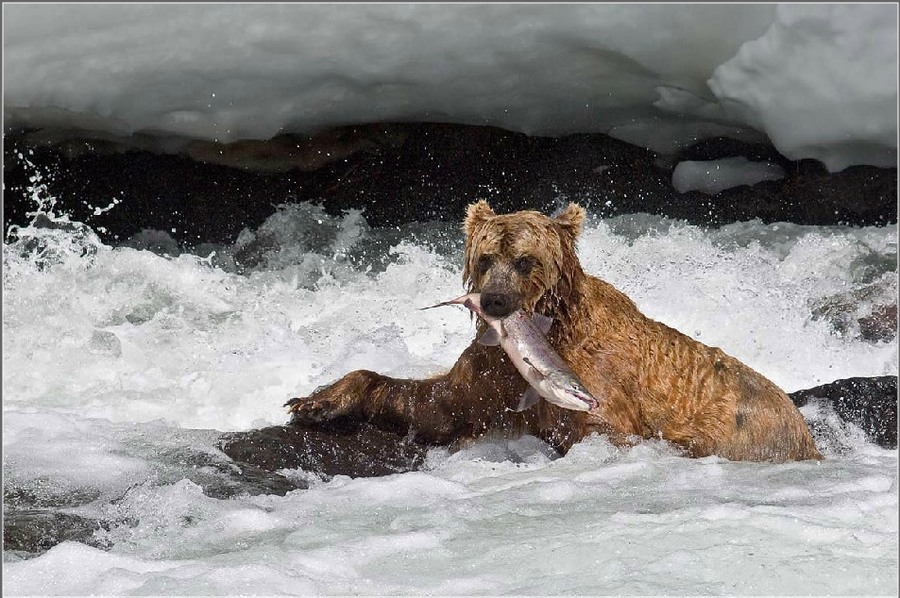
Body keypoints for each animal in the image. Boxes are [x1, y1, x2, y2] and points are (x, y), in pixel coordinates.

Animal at [290, 202, 824, 464]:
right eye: (486, 258)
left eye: (525, 260)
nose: (494, 301)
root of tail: (805, 433)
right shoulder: (491, 372)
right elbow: (440, 405)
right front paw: (314, 400)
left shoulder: (596, 375)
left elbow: (606, 429)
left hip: (749, 428)